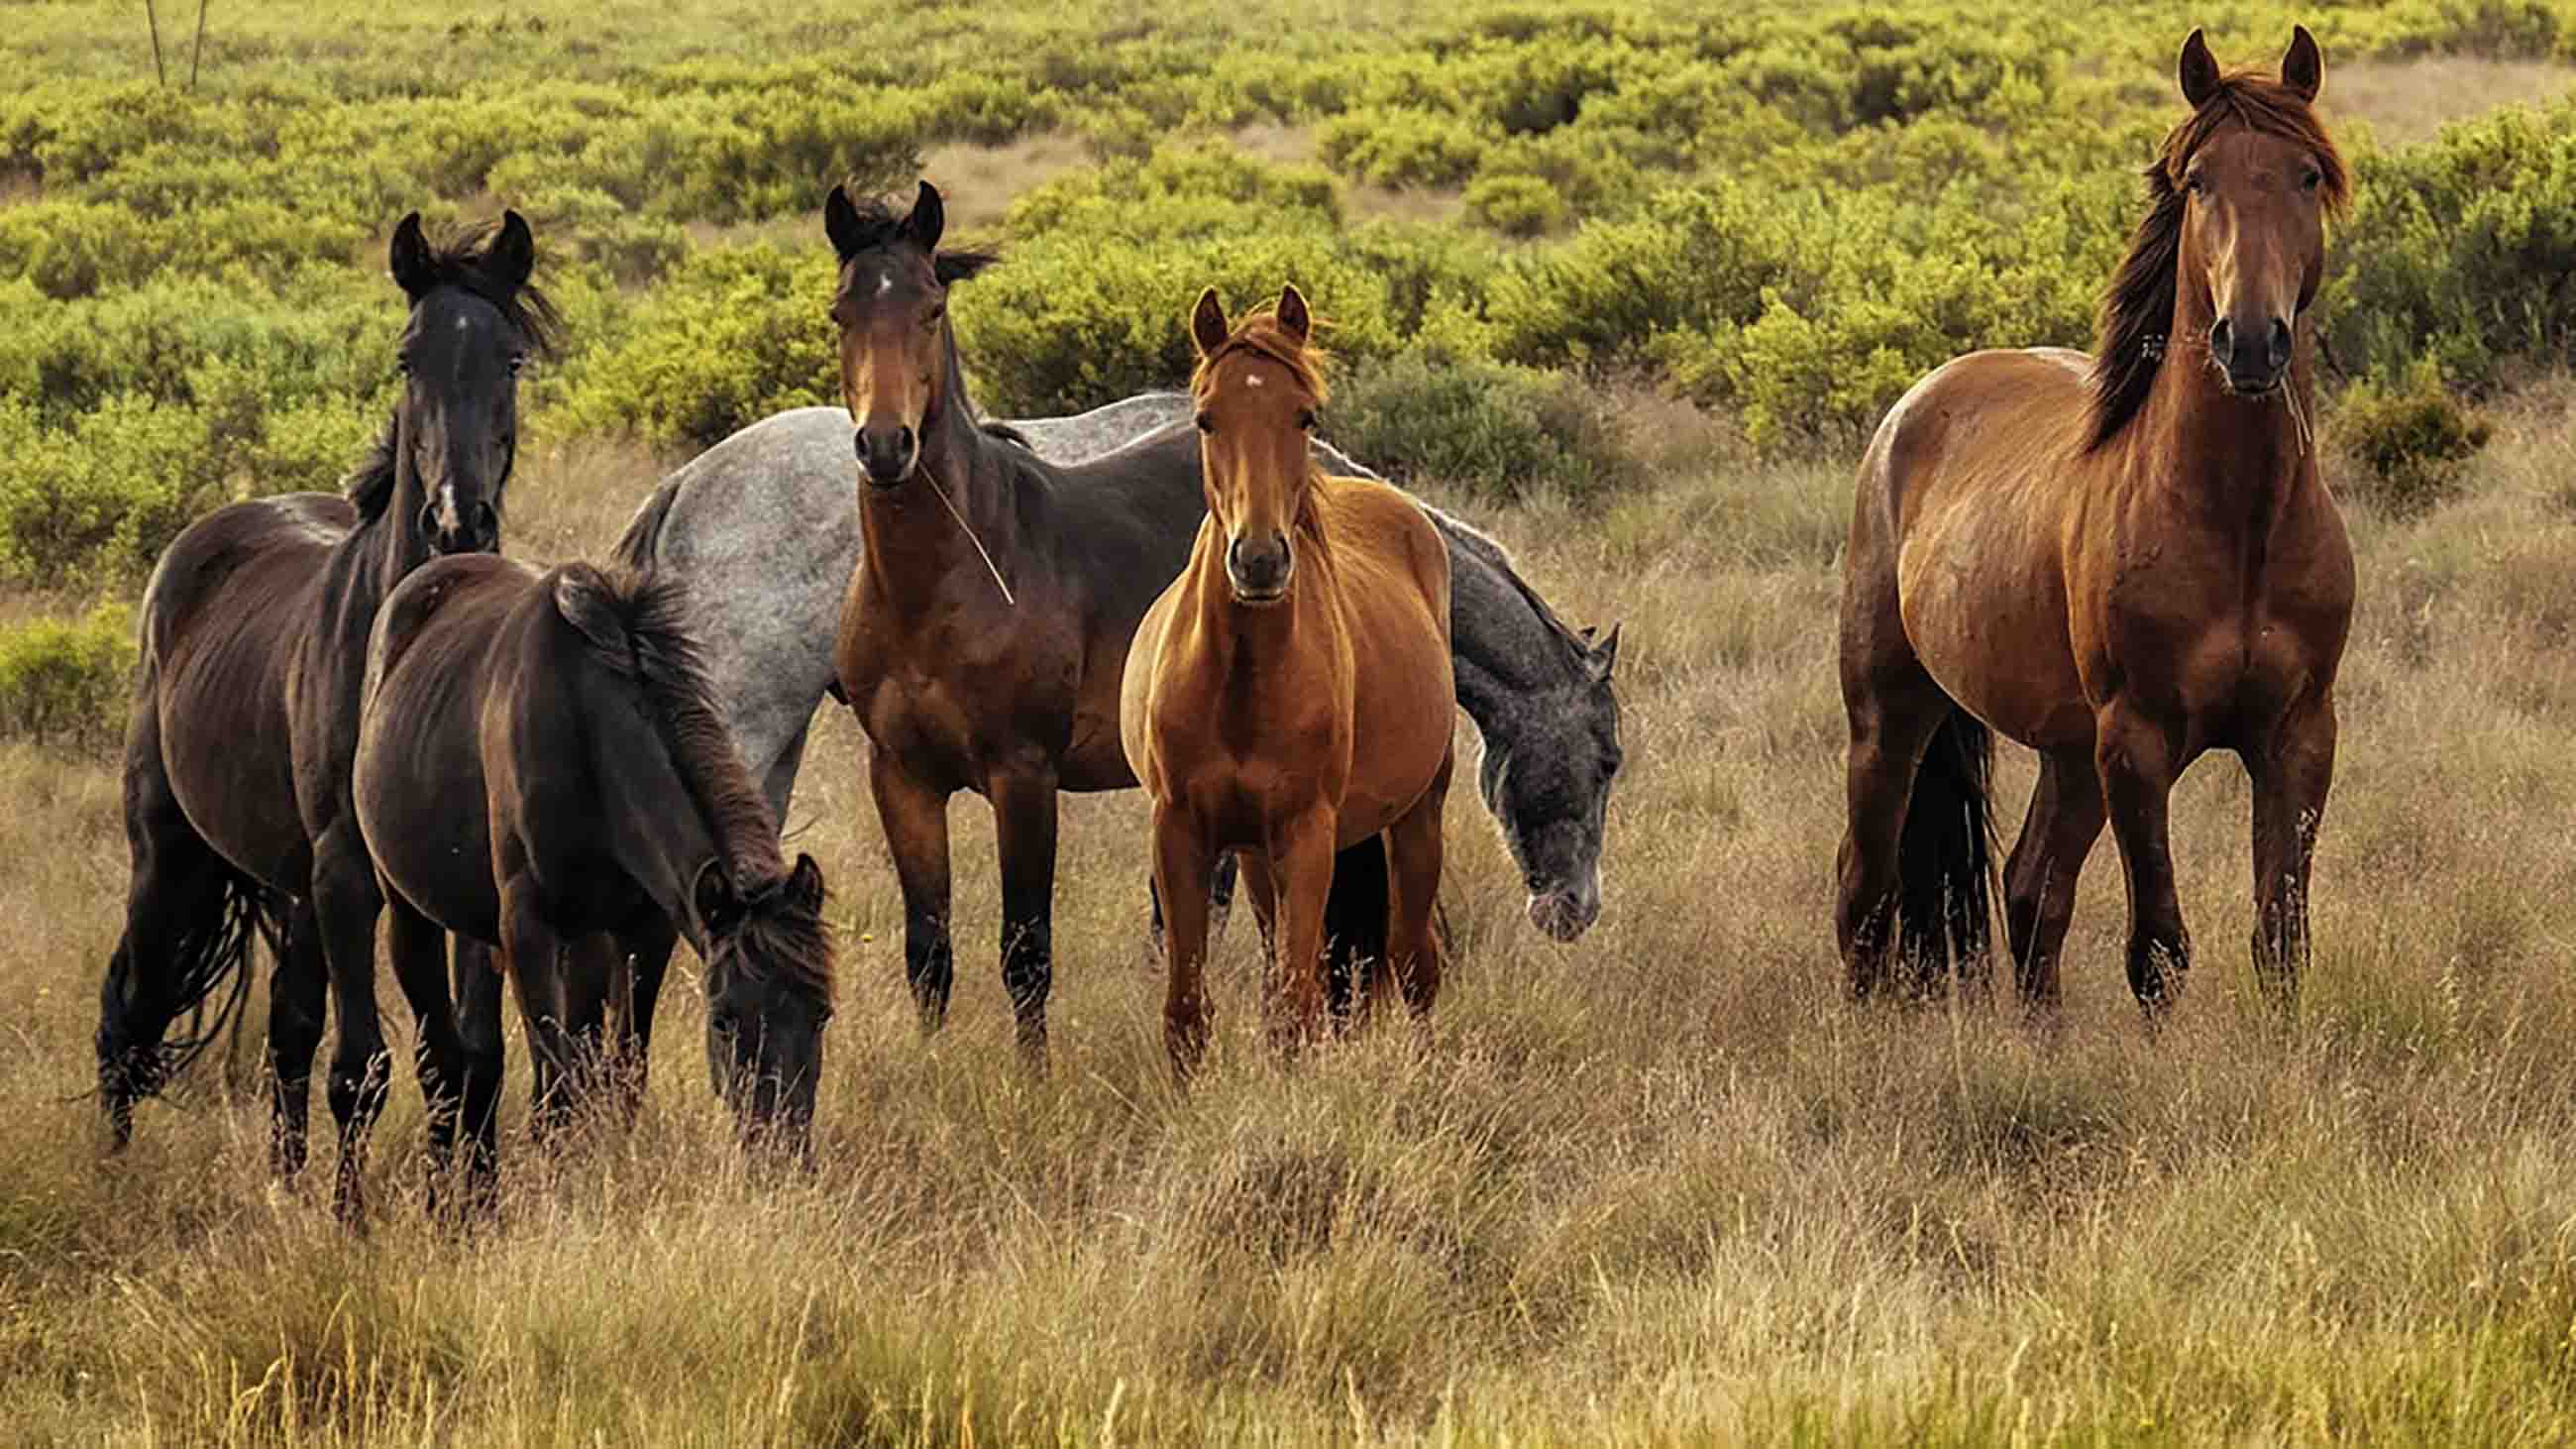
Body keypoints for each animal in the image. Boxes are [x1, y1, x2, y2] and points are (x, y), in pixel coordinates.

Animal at [97, 208, 556, 1211]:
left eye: (509, 358)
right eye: (407, 357)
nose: (458, 522)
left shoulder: (454, 885)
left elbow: (468, 1058)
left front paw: (468, 1205)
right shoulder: (348, 872)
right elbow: (366, 1067)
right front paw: (354, 1222)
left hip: (291, 889)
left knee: (287, 1033)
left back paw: (283, 1180)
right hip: (170, 859)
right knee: (130, 1012)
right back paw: (113, 1171)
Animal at [353, 551, 829, 1175]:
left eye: (821, 1014)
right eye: (723, 1018)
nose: (785, 1153)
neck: (586, 731)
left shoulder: (643, 929)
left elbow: (620, 1074)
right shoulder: (527, 928)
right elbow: (555, 1090)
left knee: (487, 1055)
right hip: (412, 914)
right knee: (442, 1064)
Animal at [1123, 284, 1462, 1072]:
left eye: (1303, 414)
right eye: (1206, 418)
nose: (1259, 560)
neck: (1240, 682)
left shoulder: (1307, 835)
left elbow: (1295, 1010)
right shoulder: (1180, 831)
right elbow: (1187, 1012)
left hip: (1415, 818)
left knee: (1414, 964)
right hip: (1255, 856)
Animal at [1834, 25, 2359, 1015]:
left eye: (2307, 174)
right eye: (2199, 182)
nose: (2251, 341)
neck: (2238, 524)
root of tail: (1914, 406)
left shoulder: (2298, 737)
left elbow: (2281, 939)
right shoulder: (2137, 746)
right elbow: (2158, 948)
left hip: (2068, 752)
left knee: (2030, 889)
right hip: (1891, 717)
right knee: (1864, 890)